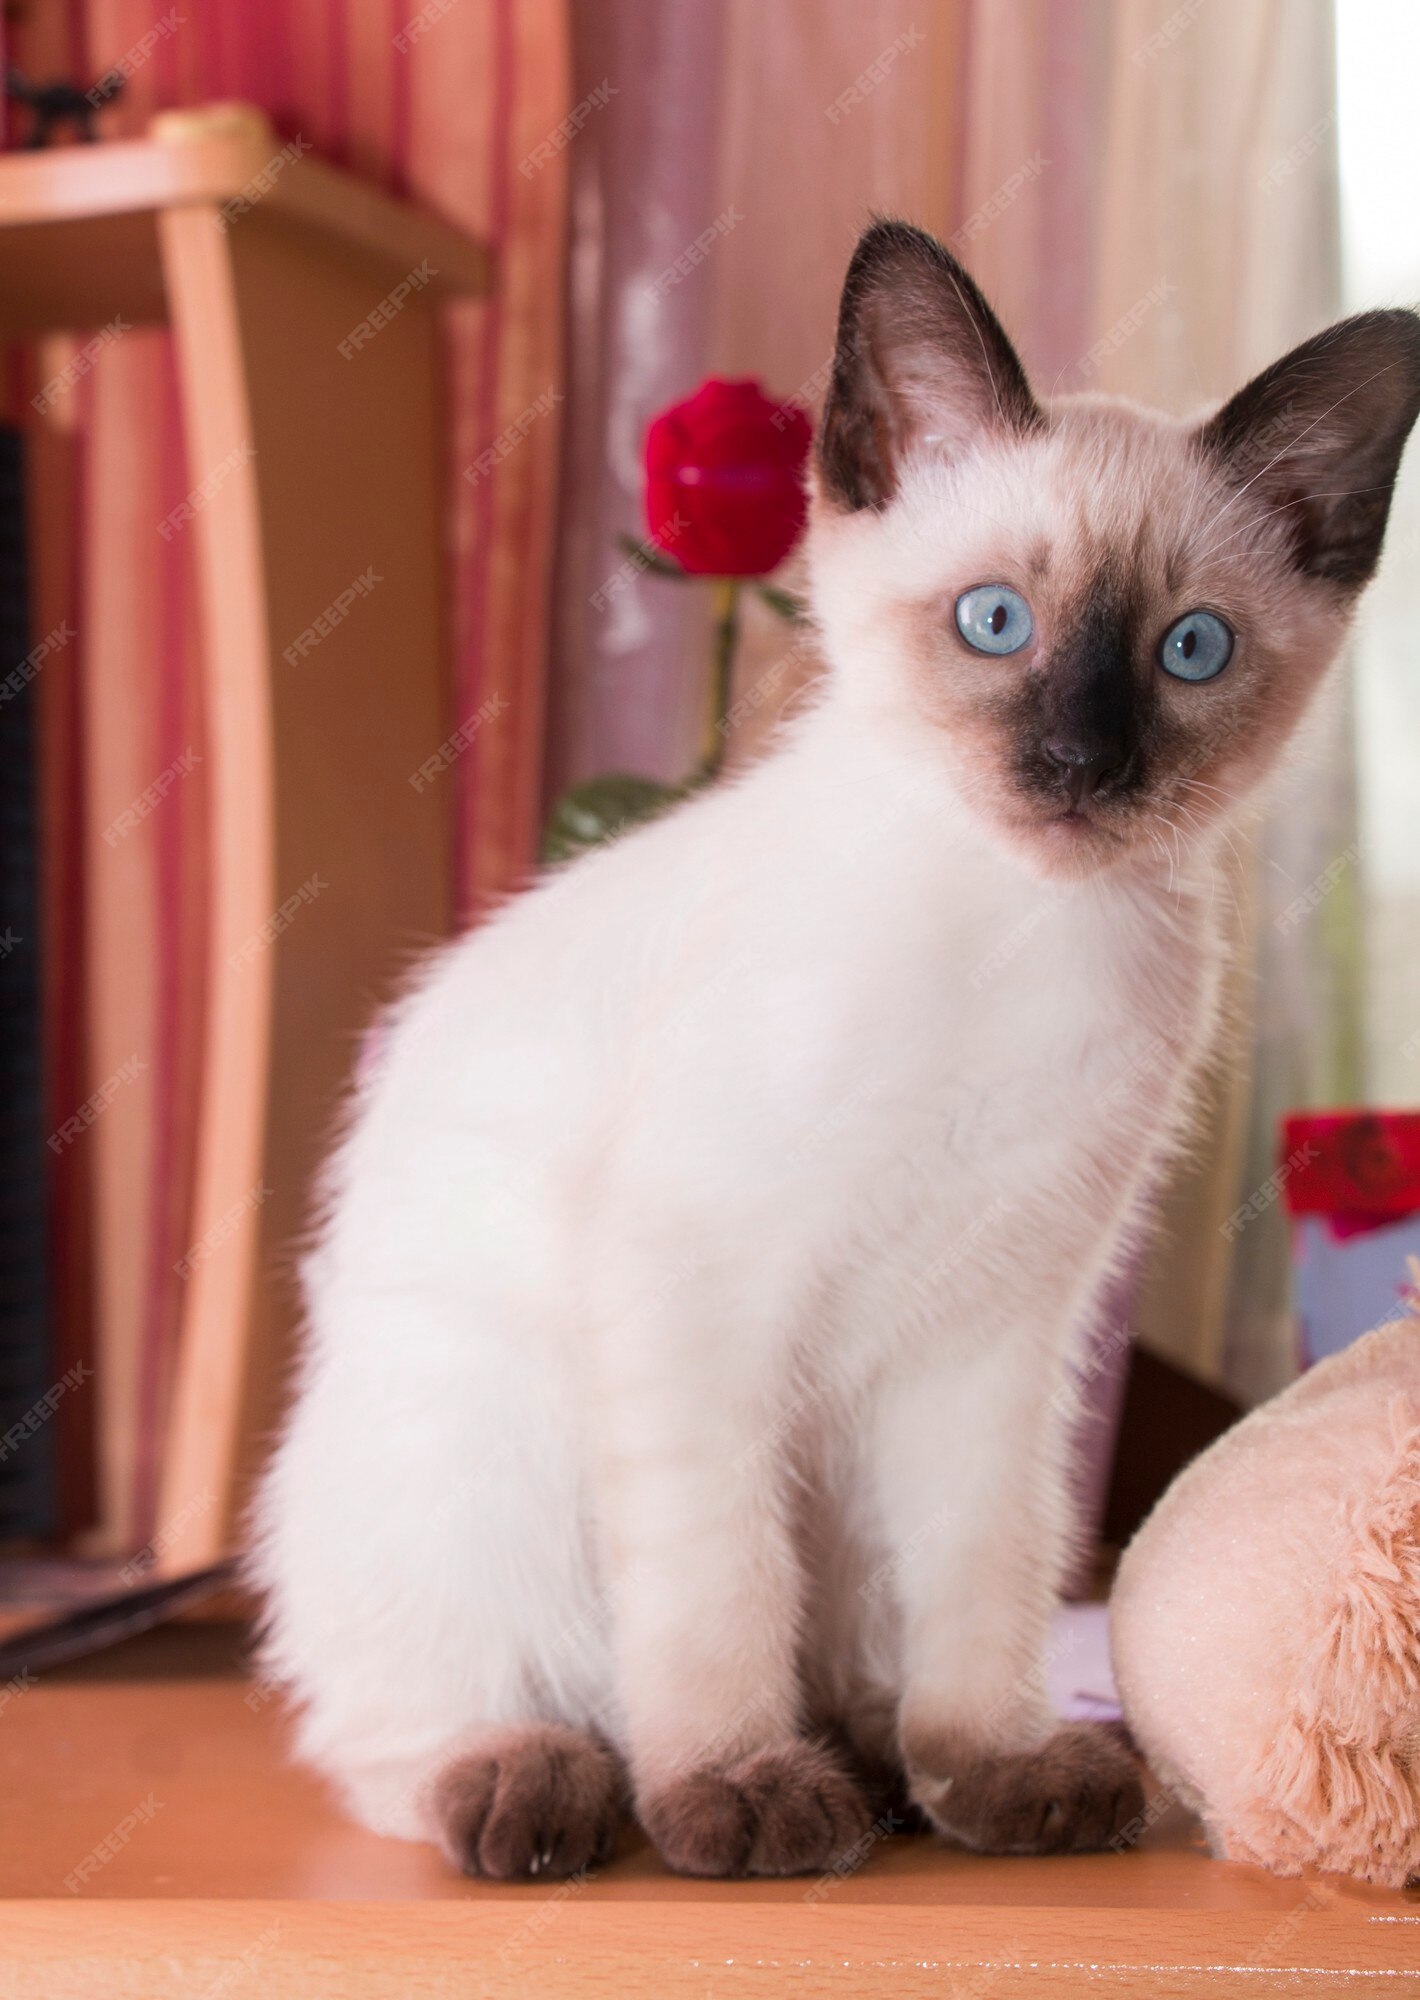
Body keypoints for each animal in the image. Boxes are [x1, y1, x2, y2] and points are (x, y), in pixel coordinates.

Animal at [253, 227, 1420, 1880]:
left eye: (1191, 652)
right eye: (996, 623)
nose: (1081, 765)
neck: (1026, 931)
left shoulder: (1002, 1323)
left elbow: (979, 1581)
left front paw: (986, 1768)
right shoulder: (698, 1284)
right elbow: (717, 1590)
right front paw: (737, 1796)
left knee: (865, 1655)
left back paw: (886, 1770)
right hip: (485, 1452)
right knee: (415, 1725)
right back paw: (547, 1790)